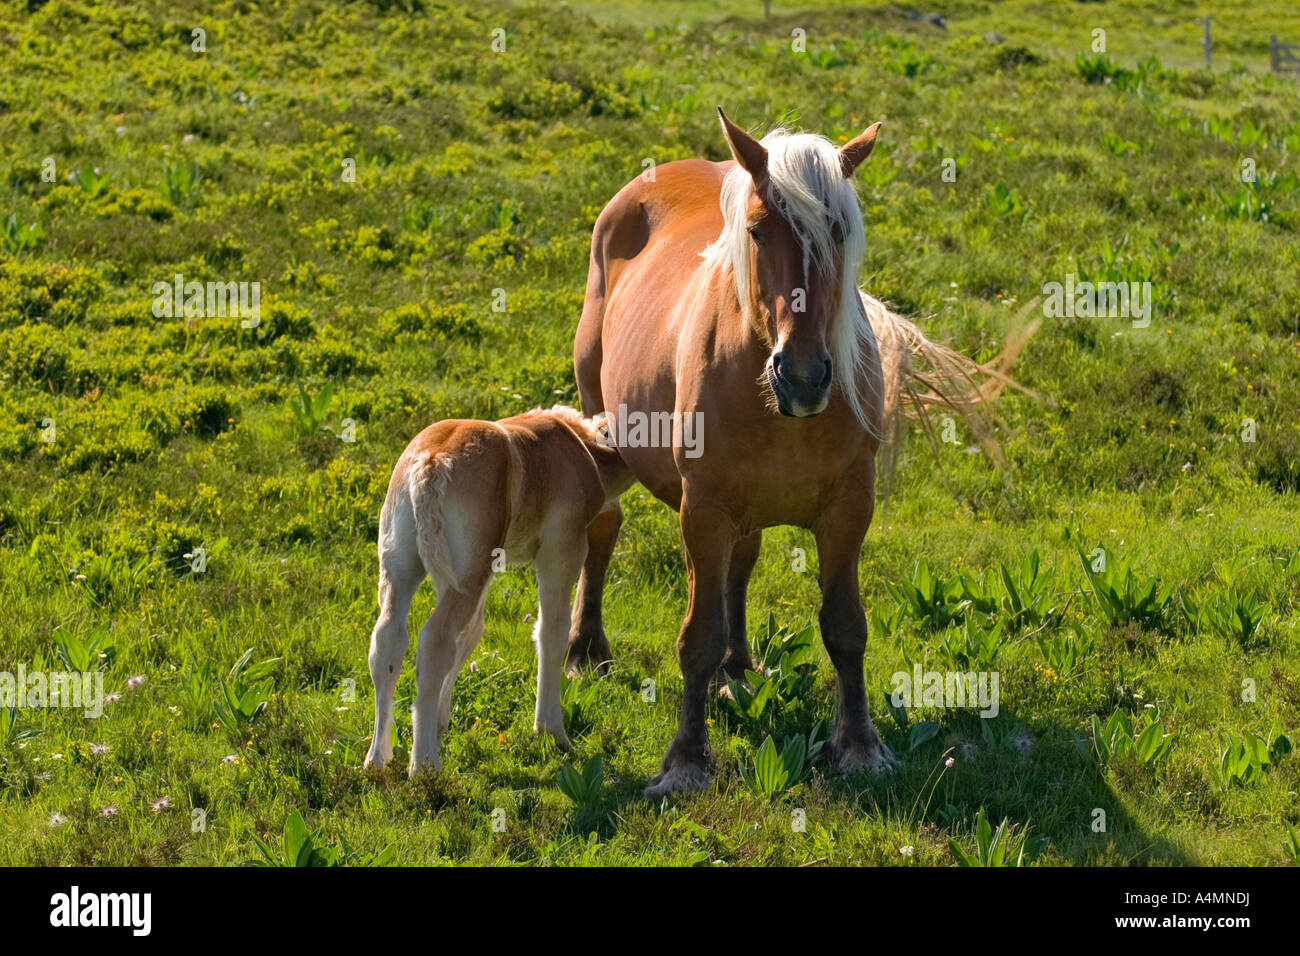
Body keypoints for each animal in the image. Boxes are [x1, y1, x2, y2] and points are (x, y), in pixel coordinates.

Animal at [363, 406, 632, 776]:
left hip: (403, 562)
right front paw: (552, 733)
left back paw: (377, 757)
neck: (585, 450)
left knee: (388, 639)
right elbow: (551, 631)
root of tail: (429, 465)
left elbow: (472, 633)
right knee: (434, 641)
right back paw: (425, 763)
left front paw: (441, 724)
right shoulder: (563, 547)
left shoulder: (484, 564)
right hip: (464, 572)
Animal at [567, 110, 1029, 797]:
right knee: (604, 528)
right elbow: (695, 638)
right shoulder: (702, 512)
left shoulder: (847, 512)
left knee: (740, 565)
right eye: (757, 231)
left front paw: (859, 746)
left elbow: (845, 628)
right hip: (600, 424)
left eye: (839, 232)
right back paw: (583, 649)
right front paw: (685, 761)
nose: (804, 378)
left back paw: (736, 670)